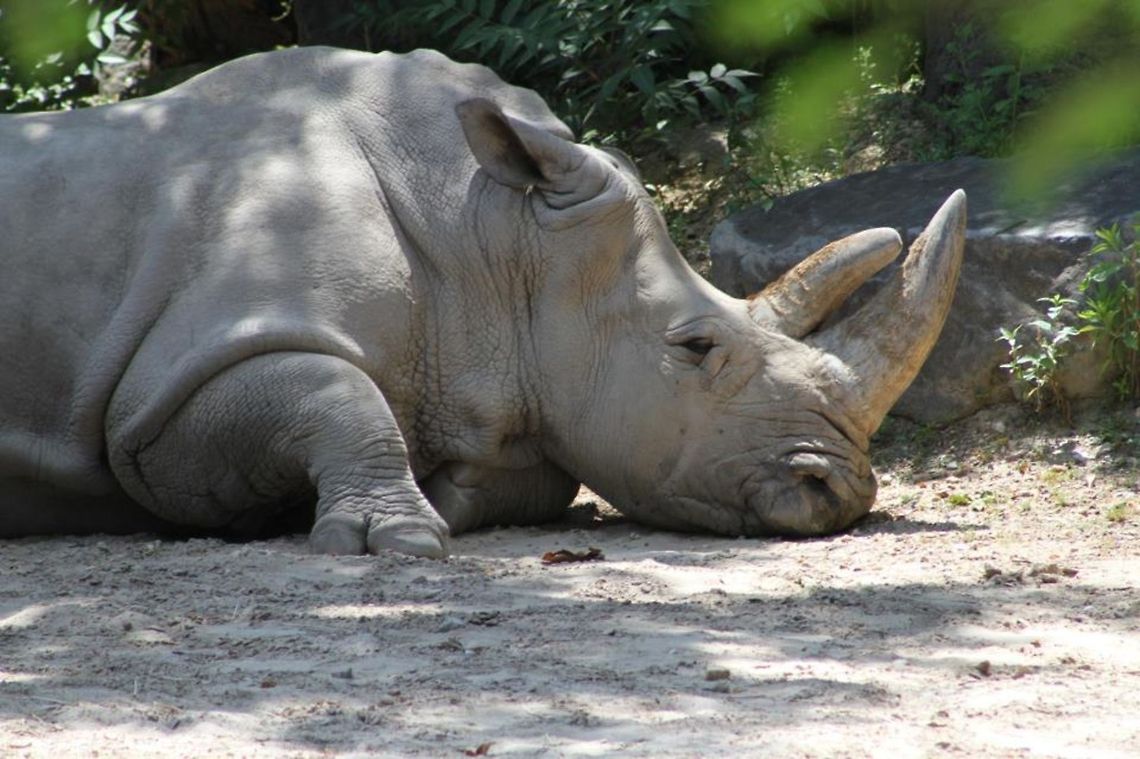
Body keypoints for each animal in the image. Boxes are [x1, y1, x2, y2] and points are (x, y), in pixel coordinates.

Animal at [0, 47, 965, 557]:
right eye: (695, 348)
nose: (836, 490)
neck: (489, 235)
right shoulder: (163, 400)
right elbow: (335, 396)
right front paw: (398, 538)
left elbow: (538, 468)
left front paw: (443, 496)